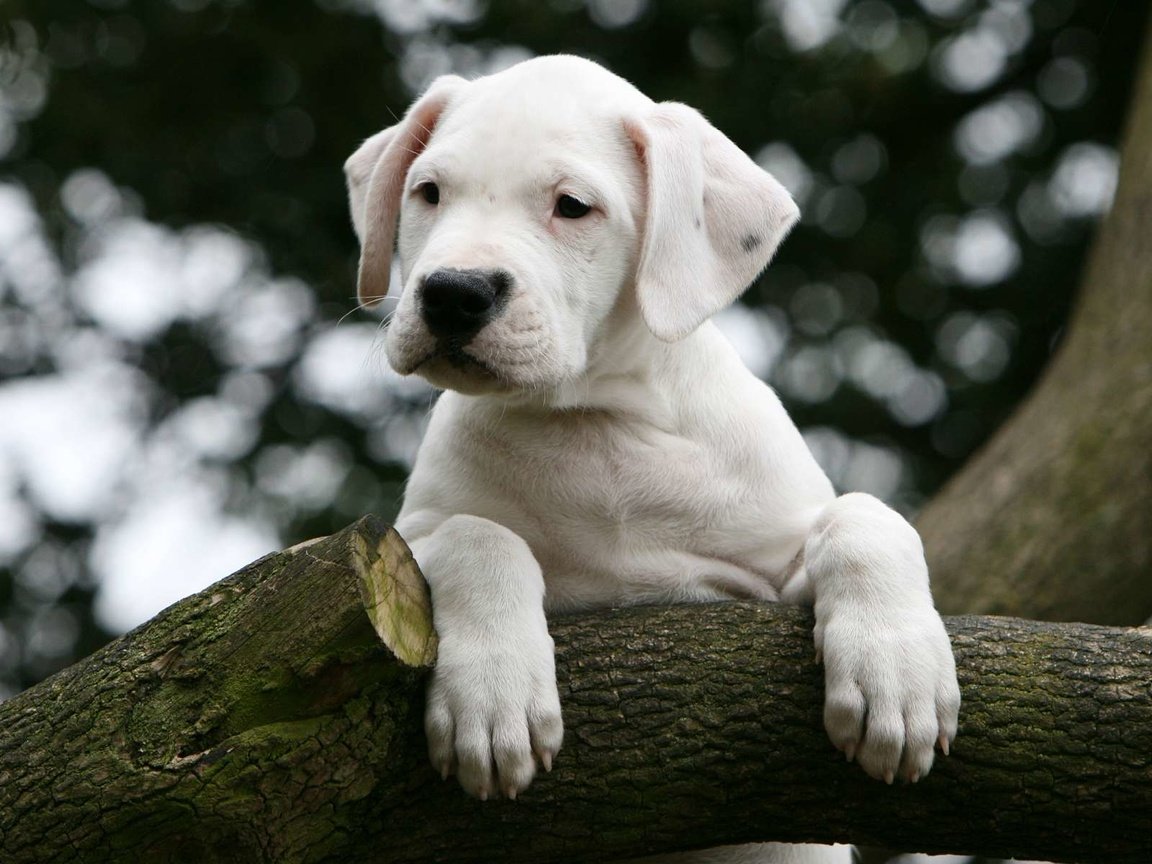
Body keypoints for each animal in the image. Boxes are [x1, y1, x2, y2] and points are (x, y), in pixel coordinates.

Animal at [345, 55, 958, 864]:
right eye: (428, 193)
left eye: (572, 207)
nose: (453, 293)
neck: (597, 425)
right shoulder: (413, 536)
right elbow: (477, 534)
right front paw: (496, 694)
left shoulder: (767, 582)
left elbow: (865, 517)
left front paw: (897, 670)